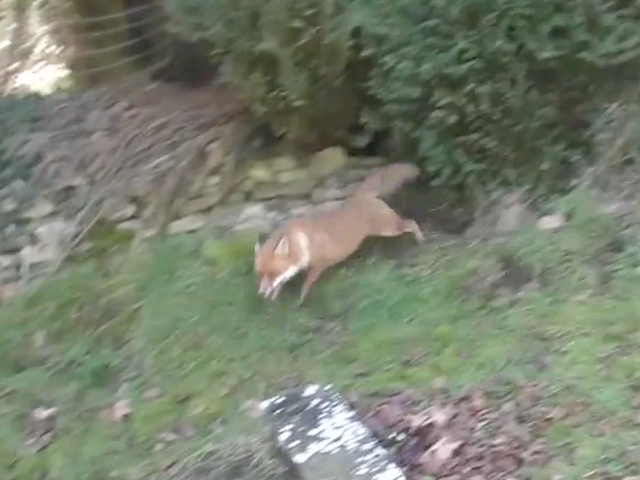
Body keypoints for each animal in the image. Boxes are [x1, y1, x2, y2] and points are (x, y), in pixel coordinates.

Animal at [251, 162, 424, 304]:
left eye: (272, 272)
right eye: (259, 274)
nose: (261, 293)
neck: (301, 241)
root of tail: (359, 195)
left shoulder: (319, 264)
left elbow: (306, 284)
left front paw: (299, 300)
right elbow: (283, 281)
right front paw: (275, 294)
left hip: (389, 229)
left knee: (411, 222)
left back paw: (420, 239)